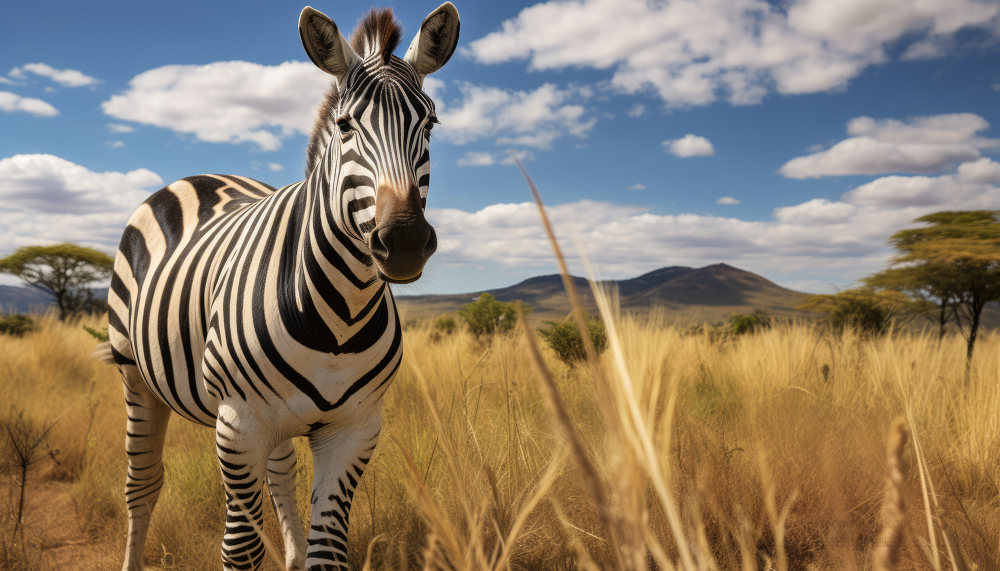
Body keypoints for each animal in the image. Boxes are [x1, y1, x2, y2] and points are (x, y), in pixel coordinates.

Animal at [97, 3, 460, 568]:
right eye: (346, 126)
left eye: (430, 123)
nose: (402, 241)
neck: (341, 316)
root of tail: (200, 176)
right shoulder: (238, 423)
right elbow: (240, 549)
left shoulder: (354, 429)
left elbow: (327, 550)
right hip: (134, 372)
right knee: (142, 485)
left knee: (281, 471)